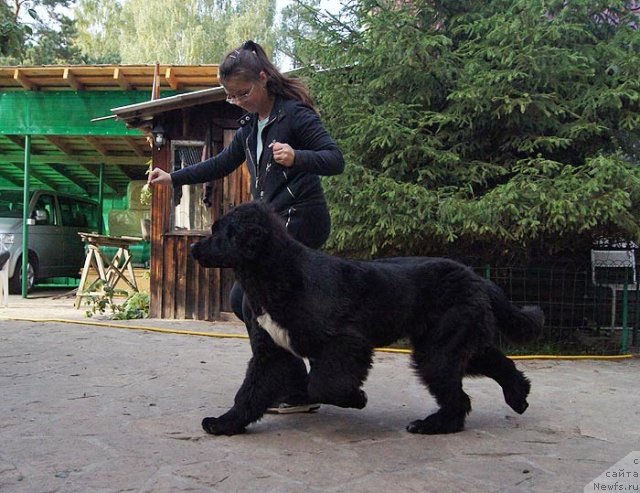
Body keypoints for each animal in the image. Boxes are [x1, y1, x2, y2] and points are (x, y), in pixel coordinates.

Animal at [191, 202, 544, 436]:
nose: (194, 247)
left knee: (459, 396)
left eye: (220, 231)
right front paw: (225, 423)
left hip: (438, 349)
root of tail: (476, 276)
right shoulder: (272, 352)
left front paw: (356, 398)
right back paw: (518, 396)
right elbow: (249, 393)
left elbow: (322, 384)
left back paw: (433, 425)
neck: (277, 274)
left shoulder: (346, 342)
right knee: (496, 362)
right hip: (448, 342)